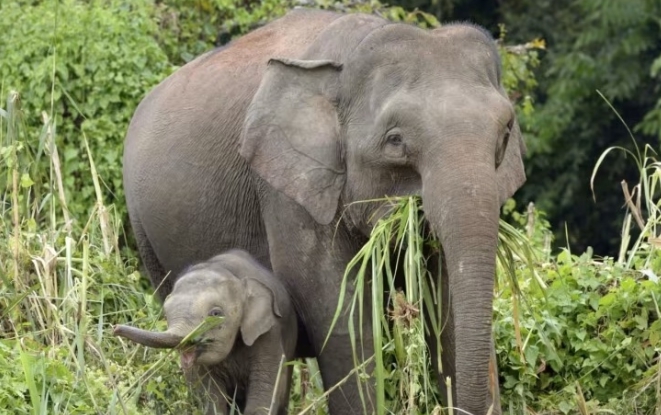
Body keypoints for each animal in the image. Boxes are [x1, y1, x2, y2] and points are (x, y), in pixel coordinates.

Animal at [113, 249, 297, 415]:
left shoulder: (269, 334)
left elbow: (264, 387)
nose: (114, 328)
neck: (230, 272)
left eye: (215, 314)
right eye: (165, 313)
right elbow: (210, 395)